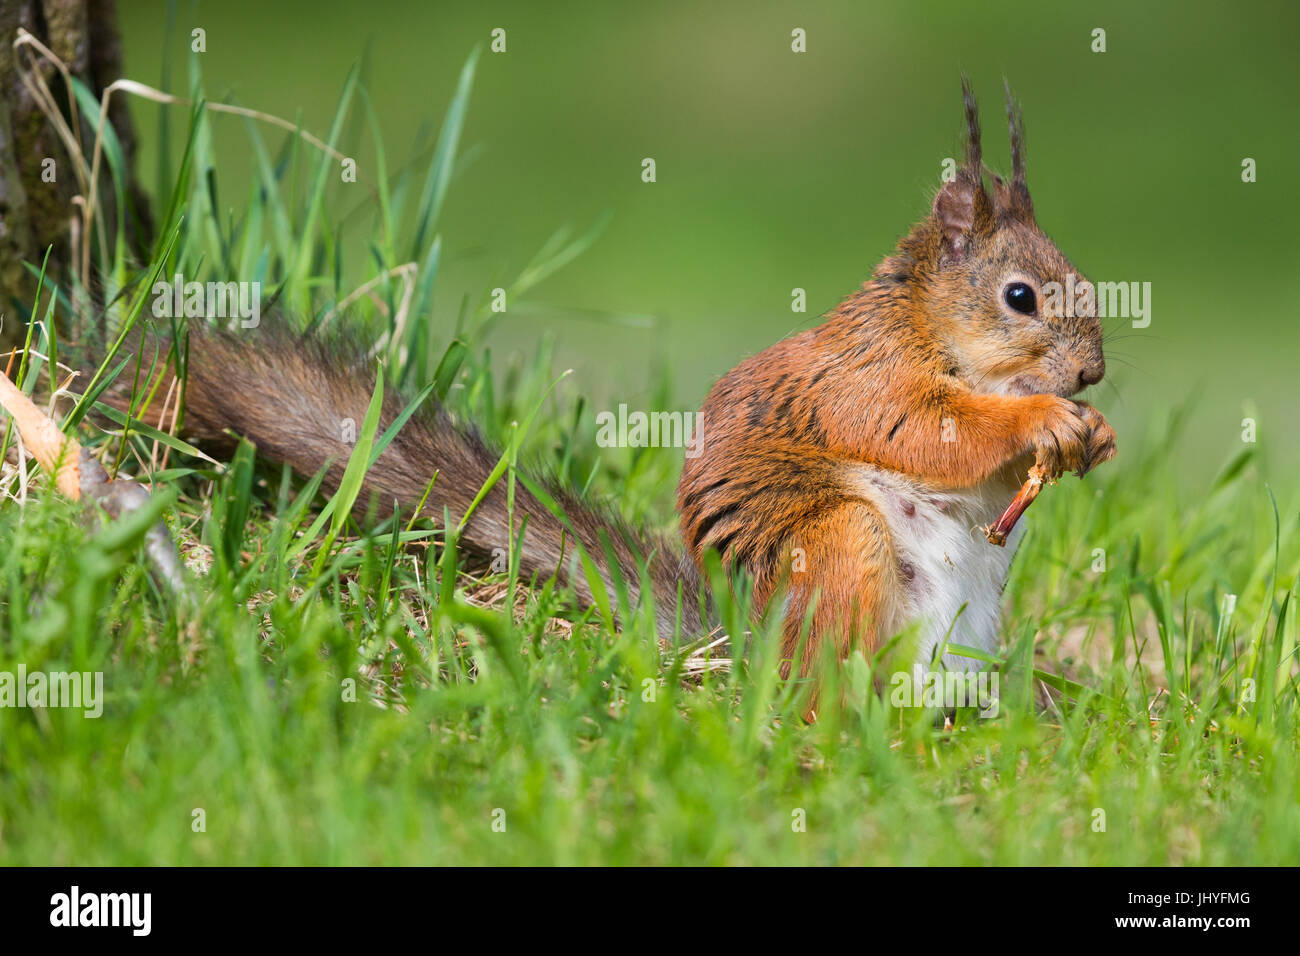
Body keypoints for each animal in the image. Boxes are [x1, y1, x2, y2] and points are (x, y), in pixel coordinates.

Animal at [104, 80, 1118, 697]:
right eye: (1021, 296)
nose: (1092, 372)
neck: (936, 331)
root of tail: (744, 646)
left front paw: (1094, 433)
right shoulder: (863, 377)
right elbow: (926, 431)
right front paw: (1044, 418)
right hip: (837, 549)